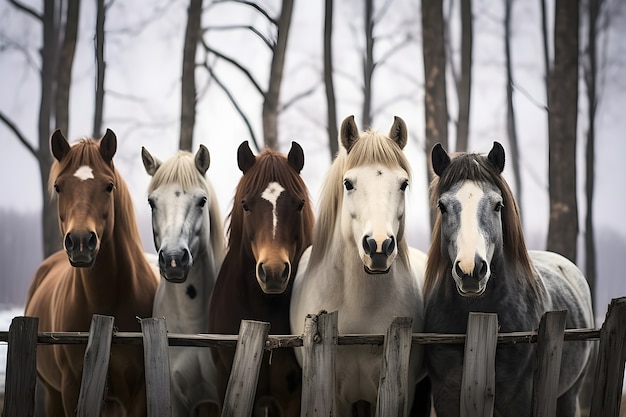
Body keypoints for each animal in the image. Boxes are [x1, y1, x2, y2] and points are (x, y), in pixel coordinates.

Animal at [25, 128, 158, 414]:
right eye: (58, 186)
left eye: (108, 186)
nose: (81, 241)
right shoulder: (71, 387)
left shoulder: (139, 391)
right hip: (53, 393)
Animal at [424, 141, 588, 416]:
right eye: (442, 206)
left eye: (497, 205)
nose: (470, 270)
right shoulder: (446, 394)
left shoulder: (518, 398)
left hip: (568, 395)